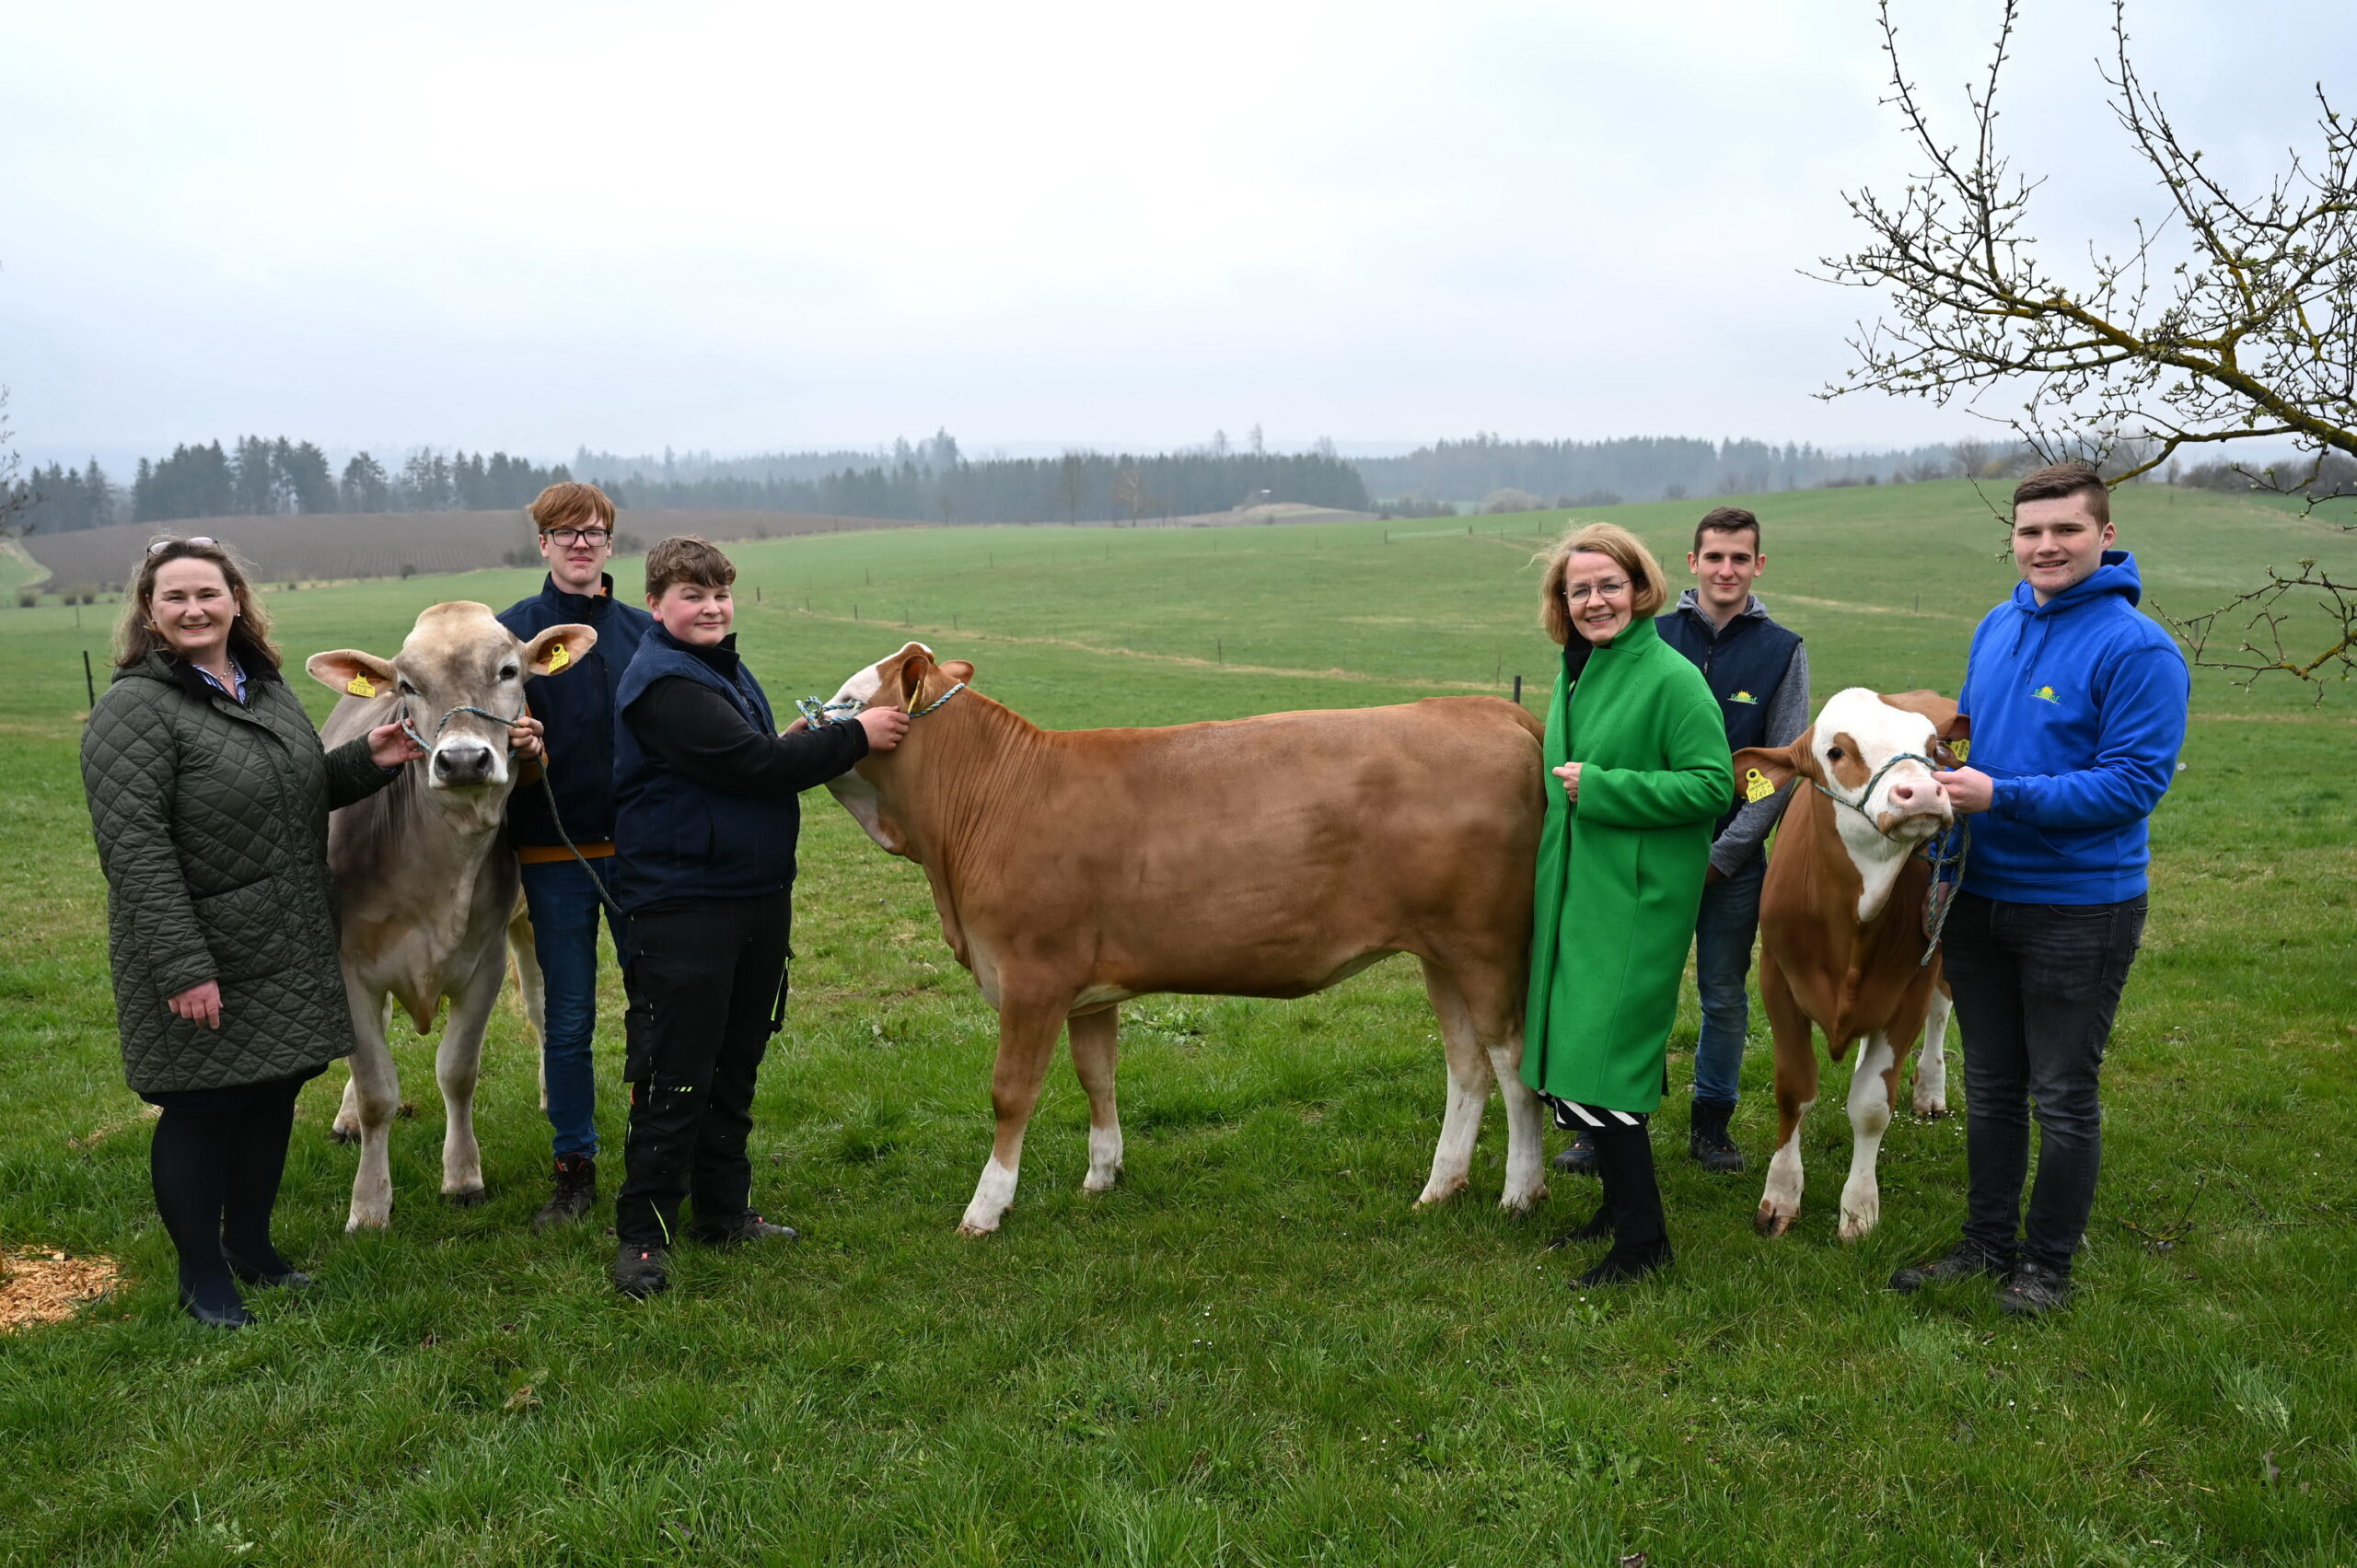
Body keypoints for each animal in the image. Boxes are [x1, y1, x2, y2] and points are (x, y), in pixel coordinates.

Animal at [306, 598, 594, 1225]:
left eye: (509, 671)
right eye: (407, 686)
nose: (462, 759)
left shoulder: (483, 961)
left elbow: (457, 1070)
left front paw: (462, 1178)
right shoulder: (348, 967)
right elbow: (376, 1089)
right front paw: (369, 1205)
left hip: (529, 922)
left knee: (541, 1009)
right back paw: (344, 1121)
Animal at [819, 641, 1555, 1225]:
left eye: (850, 699)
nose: (804, 723)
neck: (994, 799)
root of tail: (1490, 710)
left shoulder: (1033, 975)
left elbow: (1011, 1092)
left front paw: (986, 1207)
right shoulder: (1087, 989)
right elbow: (1097, 1076)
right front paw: (1102, 1173)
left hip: (1486, 947)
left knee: (1515, 1064)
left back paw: (1521, 1191)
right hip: (1440, 954)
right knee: (1467, 1066)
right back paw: (1441, 1186)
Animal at [1724, 692, 1960, 1245]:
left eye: (1931, 749)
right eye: (1835, 751)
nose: (1923, 792)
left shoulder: (1910, 990)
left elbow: (1872, 1106)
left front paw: (1859, 1209)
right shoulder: (1777, 981)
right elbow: (1795, 1090)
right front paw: (1780, 1197)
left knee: (1941, 1012)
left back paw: (1930, 1089)